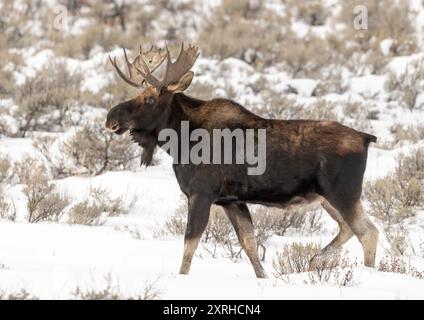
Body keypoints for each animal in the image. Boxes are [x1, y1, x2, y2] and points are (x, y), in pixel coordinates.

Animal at [105, 42, 378, 278]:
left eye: (150, 98)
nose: (110, 118)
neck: (181, 140)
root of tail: (367, 137)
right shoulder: (232, 201)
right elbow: (250, 245)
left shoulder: (201, 194)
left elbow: (189, 244)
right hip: (327, 198)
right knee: (349, 228)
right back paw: (314, 261)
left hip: (342, 193)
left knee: (368, 232)